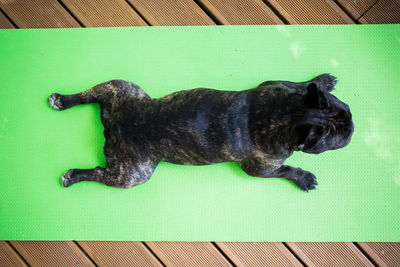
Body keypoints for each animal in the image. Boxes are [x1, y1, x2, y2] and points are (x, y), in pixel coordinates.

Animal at [49, 74, 354, 192]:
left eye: (345, 109)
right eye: (333, 142)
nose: (351, 128)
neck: (287, 114)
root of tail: (117, 125)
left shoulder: (275, 86)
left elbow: (298, 84)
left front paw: (321, 82)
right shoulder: (261, 169)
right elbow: (286, 170)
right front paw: (304, 177)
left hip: (120, 88)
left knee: (88, 95)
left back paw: (62, 100)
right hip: (133, 175)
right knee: (99, 174)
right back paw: (72, 176)